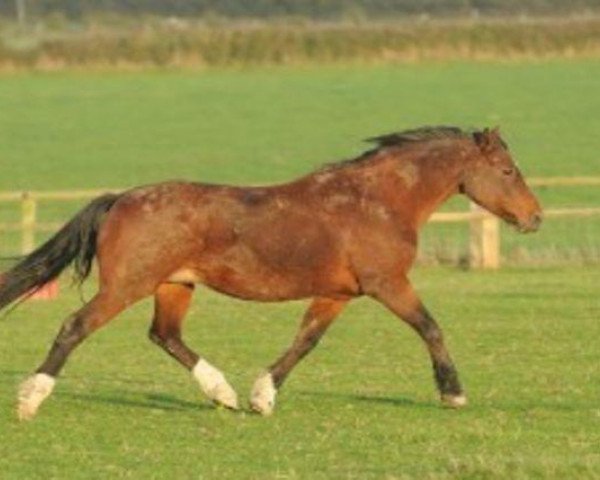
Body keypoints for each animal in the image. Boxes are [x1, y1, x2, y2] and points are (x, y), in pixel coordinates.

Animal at [0, 124, 540, 420]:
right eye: (508, 171)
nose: (535, 217)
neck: (379, 202)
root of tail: (119, 200)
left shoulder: (339, 293)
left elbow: (305, 342)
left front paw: (262, 397)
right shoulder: (387, 285)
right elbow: (430, 327)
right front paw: (453, 394)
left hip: (175, 284)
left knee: (165, 335)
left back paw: (223, 394)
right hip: (126, 286)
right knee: (75, 326)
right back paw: (30, 400)